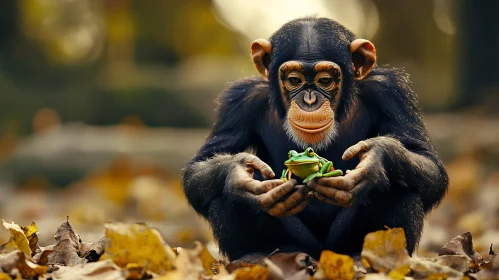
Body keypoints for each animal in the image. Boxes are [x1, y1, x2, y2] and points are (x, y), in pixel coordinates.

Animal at [183, 17, 450, 262]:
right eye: (294, 80)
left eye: (324, 81)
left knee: (403, 185)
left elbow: (426, 160)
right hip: (295, 242)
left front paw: (376, 159)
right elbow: (203, 163)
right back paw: (252, 256)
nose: (309, 100)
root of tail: (319, 254)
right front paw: (239, 173)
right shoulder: (239, 101)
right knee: (222, 193)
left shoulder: (391, 93)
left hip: (339, 242)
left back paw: (376, 256)